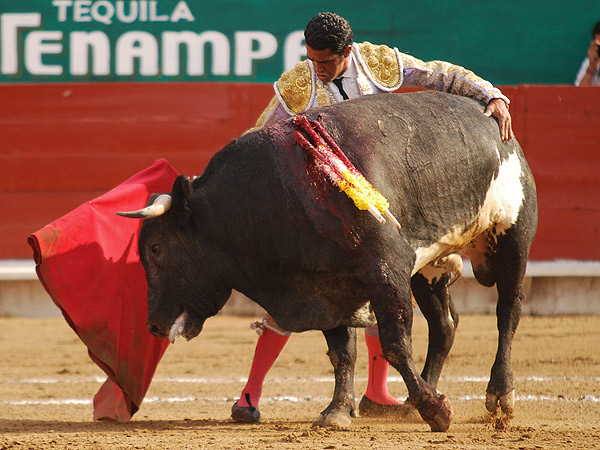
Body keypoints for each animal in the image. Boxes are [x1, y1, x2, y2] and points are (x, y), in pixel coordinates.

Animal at [118, 89, 540, 430]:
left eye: (156, 249)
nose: (153, 325)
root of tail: (498, 126)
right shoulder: (327, 286)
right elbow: (342, 351)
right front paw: (337, 411)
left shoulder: (386, 271)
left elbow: (395, 343)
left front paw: (437, 412)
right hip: (430, 268)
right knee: (445, 326)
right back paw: (412, 402)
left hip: (513, 239)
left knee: (508, 311)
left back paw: (500, 395)